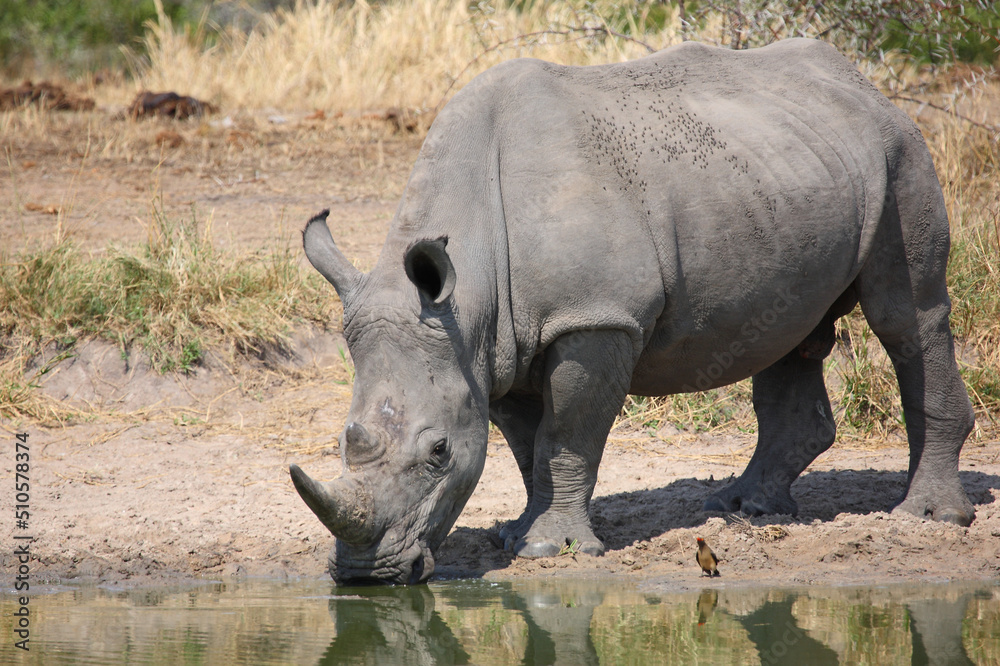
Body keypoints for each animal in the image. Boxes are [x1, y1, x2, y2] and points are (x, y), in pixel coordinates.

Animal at [290, 38, 975, 585]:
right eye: (345, 443)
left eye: (437, 452)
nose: (365, 574)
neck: (469, 294)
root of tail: (867, 84)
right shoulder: (494, 345)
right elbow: (525, 443)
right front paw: (517, 534)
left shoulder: (595, 316)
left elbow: (566, 435)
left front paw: (549, 547)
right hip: (793, 167)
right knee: (791, 329)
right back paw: (748, 509)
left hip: (899, 151)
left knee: (907, 316)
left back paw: (928, 518)